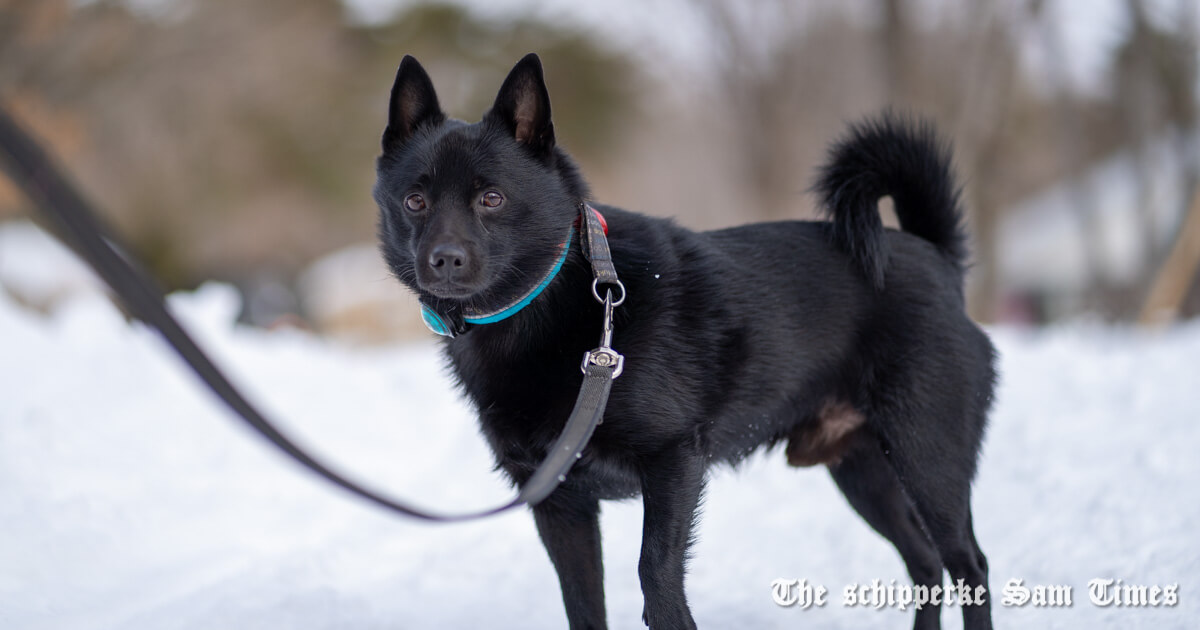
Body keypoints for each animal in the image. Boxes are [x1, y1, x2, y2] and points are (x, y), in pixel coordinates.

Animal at [372, 54, 993, 628]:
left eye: (492, 199)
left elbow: (656, 576)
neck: (552, 303)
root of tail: (935, 255)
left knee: (968, 564)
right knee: (925, 563)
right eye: (415, 201)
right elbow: (583, 605)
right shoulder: (560, 505)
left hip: (927, 459)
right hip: (866, 472)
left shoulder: (673, 463)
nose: (444, 260)